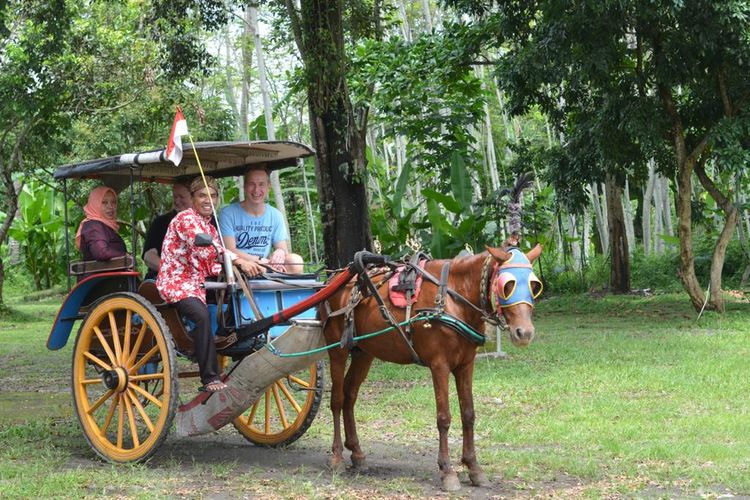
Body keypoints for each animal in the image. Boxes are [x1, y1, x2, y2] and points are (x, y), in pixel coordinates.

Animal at [320, 244, 544, 490]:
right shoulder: (439, 366)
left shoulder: (466, 365)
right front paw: (447, 471)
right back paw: (337, 457)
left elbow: (468, 414)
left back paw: (357, 453)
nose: (524, 333)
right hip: (337, 350)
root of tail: (334, 279)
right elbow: (444, 418)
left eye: (534, 286)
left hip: (364, 353)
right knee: (337, 400)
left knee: (350, 396)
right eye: (507, 286)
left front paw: (474, 468)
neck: (453, 297)